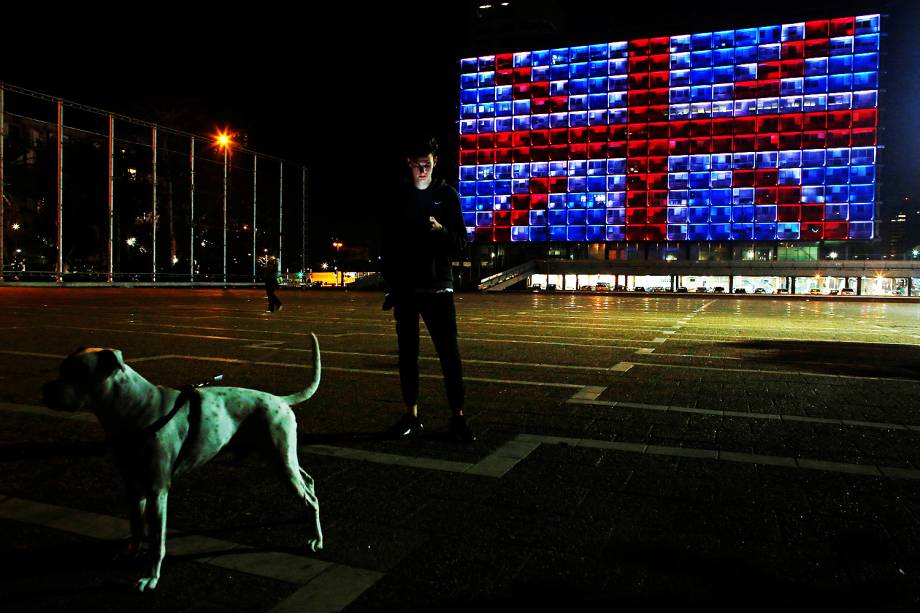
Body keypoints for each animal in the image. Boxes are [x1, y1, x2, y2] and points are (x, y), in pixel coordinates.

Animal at [42, 332, 324, 592]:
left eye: (78, 373)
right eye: (61, 369)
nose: (44, 390)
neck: (133, 408)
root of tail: (281, 400)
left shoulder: (157, 491)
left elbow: (157, 542)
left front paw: (151, 578)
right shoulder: (133, 487)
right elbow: (136, 528)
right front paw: (132, 552)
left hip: (282, 462)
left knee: (310, 499)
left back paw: (317, 539)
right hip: (283, 458)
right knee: (309, 482)